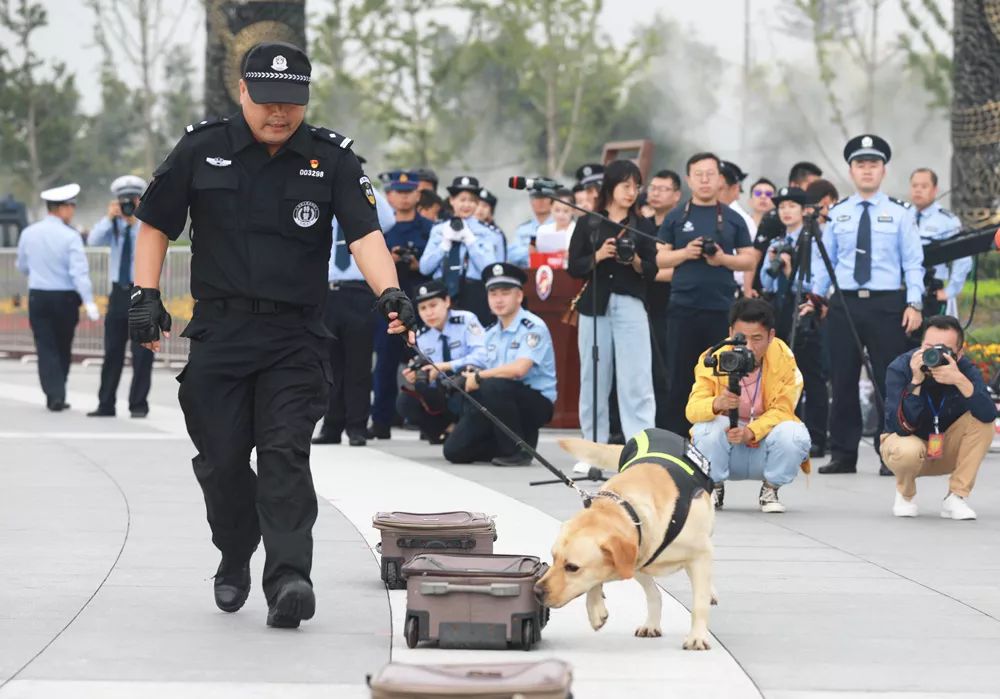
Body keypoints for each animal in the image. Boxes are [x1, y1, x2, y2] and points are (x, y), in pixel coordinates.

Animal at [536, 430, 716, 652]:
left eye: (572, 567)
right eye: (553, 558)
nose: (536, 591)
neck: (630, 510)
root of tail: (656, 430)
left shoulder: (700, 554)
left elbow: (699, 602)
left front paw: (697, 636)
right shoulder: (635, 558)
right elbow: (603, 582)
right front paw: (596, 608)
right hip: (640, 564)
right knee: (654, 594)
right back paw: (651, 624)